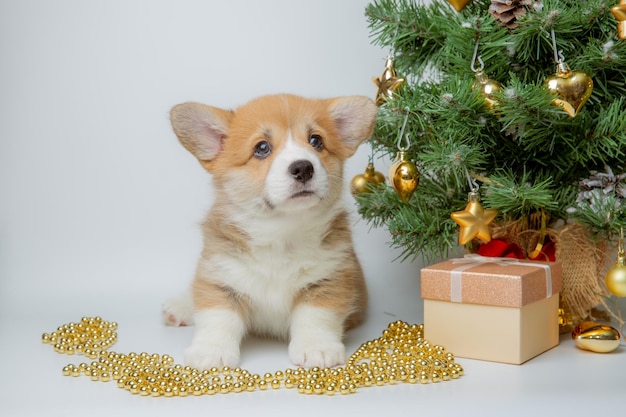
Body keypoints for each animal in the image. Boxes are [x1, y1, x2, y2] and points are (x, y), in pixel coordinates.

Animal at [163, 93, 376, 368]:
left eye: (316, 141)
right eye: (262, 148)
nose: (303, 167)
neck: (280, 232)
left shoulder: (329, 280)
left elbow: (315, 317)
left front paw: (317, 348)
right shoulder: (220, 276)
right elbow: (217, 318)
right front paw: (211, 351)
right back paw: (180, 306)